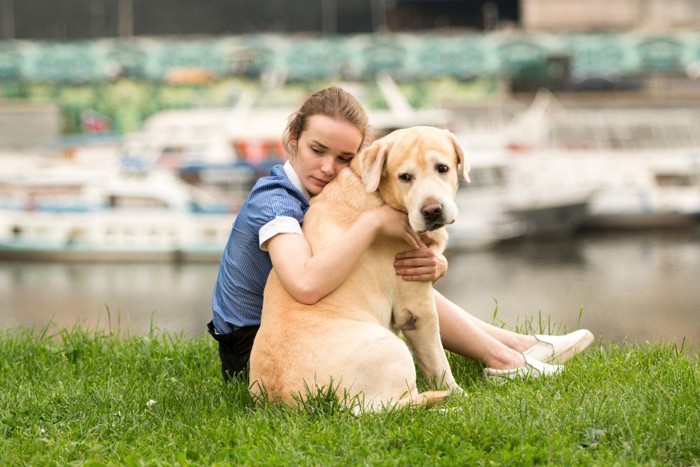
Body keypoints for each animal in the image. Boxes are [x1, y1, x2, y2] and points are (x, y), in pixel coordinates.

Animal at [247, 125, 470, 414]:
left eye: (442, 168)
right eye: (405, 177)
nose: (432, 210)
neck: (376, 190)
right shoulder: (417, 308)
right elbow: (439, 363)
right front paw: (460, 395)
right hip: (391, 349)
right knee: (393, 409)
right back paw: (445, 407)